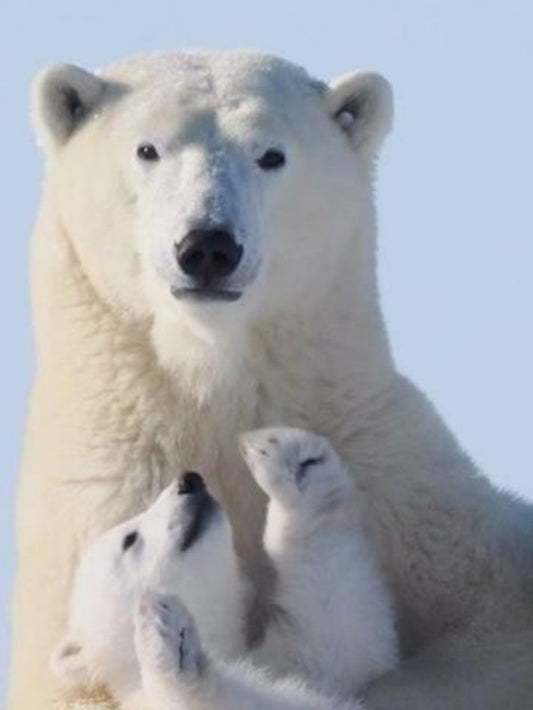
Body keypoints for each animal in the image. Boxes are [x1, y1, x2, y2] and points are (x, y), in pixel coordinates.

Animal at [51, 428, 397, 709]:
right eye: (129, 538)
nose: (189, 480)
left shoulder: (303, 664)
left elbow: (341, 627)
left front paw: (287, 456)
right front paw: (168, 636)